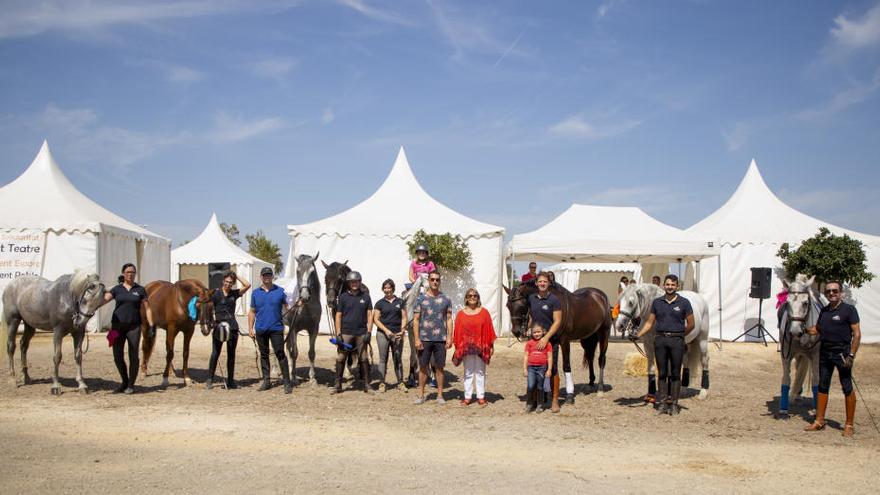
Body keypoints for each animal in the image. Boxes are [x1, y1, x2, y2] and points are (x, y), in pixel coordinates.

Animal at [288, 254, 322, 386]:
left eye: (312, 272)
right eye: (298, 271)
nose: (304, 296)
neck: (305, 307)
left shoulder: (314, 329)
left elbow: (311, 353)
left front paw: (312, 378)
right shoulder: (294, 329)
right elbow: (294, 353)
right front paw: (293, 378)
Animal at [506, 280, 608, 414]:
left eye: (522, 306)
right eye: (507, 306)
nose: (516, 331)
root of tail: (599, 295)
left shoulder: (564, 341)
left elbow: (566, 366)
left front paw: (569, 396)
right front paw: (544, 396)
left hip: (604, 333)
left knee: (601, 359)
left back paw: (600, 388)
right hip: (587, 337)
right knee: (590, 357)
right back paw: (591, 383)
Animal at [780, 276, 820, 418]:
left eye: (805, 303)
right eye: (787, 303)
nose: (795, 331)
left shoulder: (816, 355)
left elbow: (816, 381)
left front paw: (816, 410)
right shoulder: (786, 353)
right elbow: (786, 378)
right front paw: (783, 409)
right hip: (799, 355)